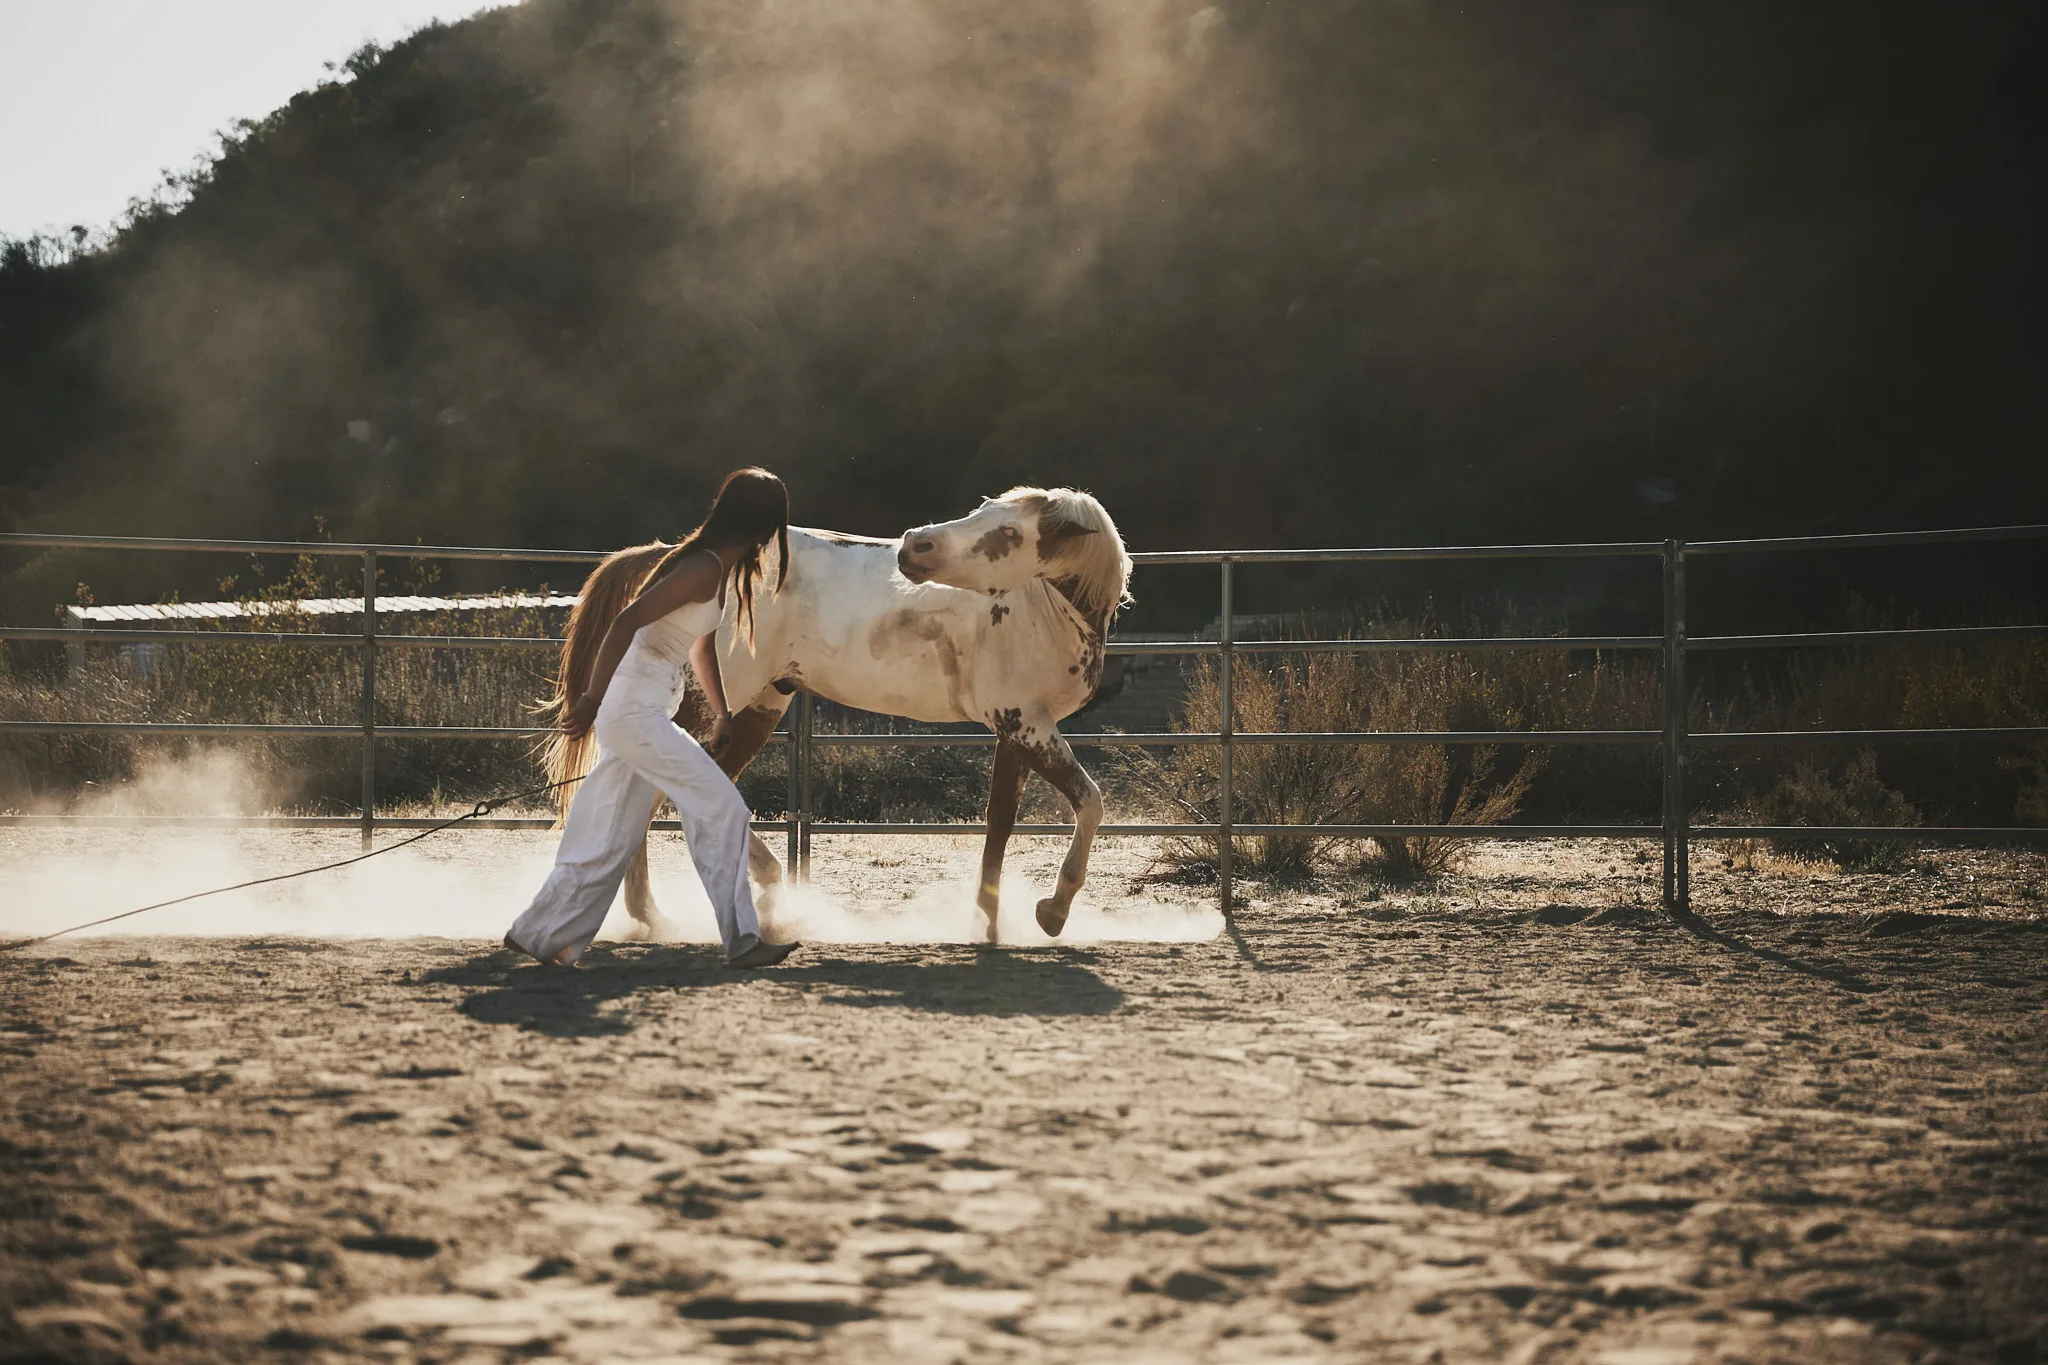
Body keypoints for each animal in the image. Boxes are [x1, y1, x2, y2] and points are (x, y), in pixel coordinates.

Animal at [544, 486, 1134, 943]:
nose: (914, 544)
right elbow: (1090, 803)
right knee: (654, 791)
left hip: (757, 708)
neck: (1045, 610)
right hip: (707, 707)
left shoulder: (1015, 727)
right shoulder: (1026, 725)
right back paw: (664, 915)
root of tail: (675, 557)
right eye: (985, 510)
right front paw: (1052, 912)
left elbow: (1001, 823)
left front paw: (987, 926)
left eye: (1010, 532)